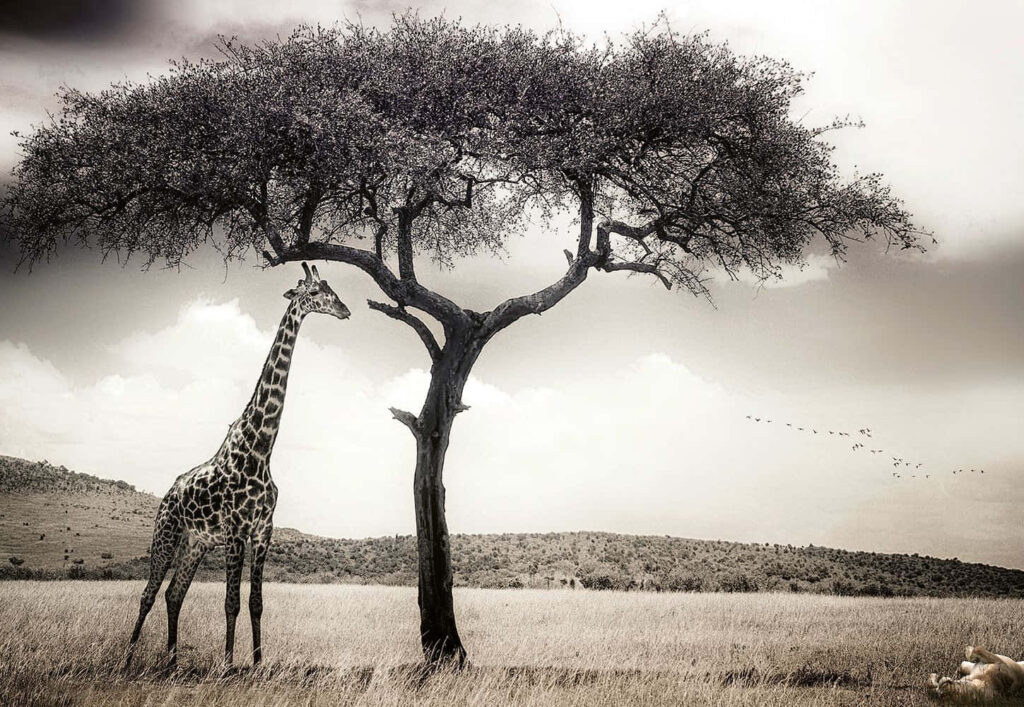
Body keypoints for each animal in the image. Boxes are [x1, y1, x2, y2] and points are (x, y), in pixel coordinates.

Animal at [125, 262, 350, 671]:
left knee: (173, 594)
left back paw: (173, 662)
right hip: (166, 534)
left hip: (195, 543)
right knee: (148, 594)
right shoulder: (235, 532)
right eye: (314, 293)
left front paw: (258, 663)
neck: (261, 450)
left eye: (332, 289)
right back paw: (128, 658)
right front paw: (228, 664)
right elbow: (230, 602)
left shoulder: (262, 532)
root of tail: (167, 494)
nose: (344, 309)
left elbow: (256, 603)